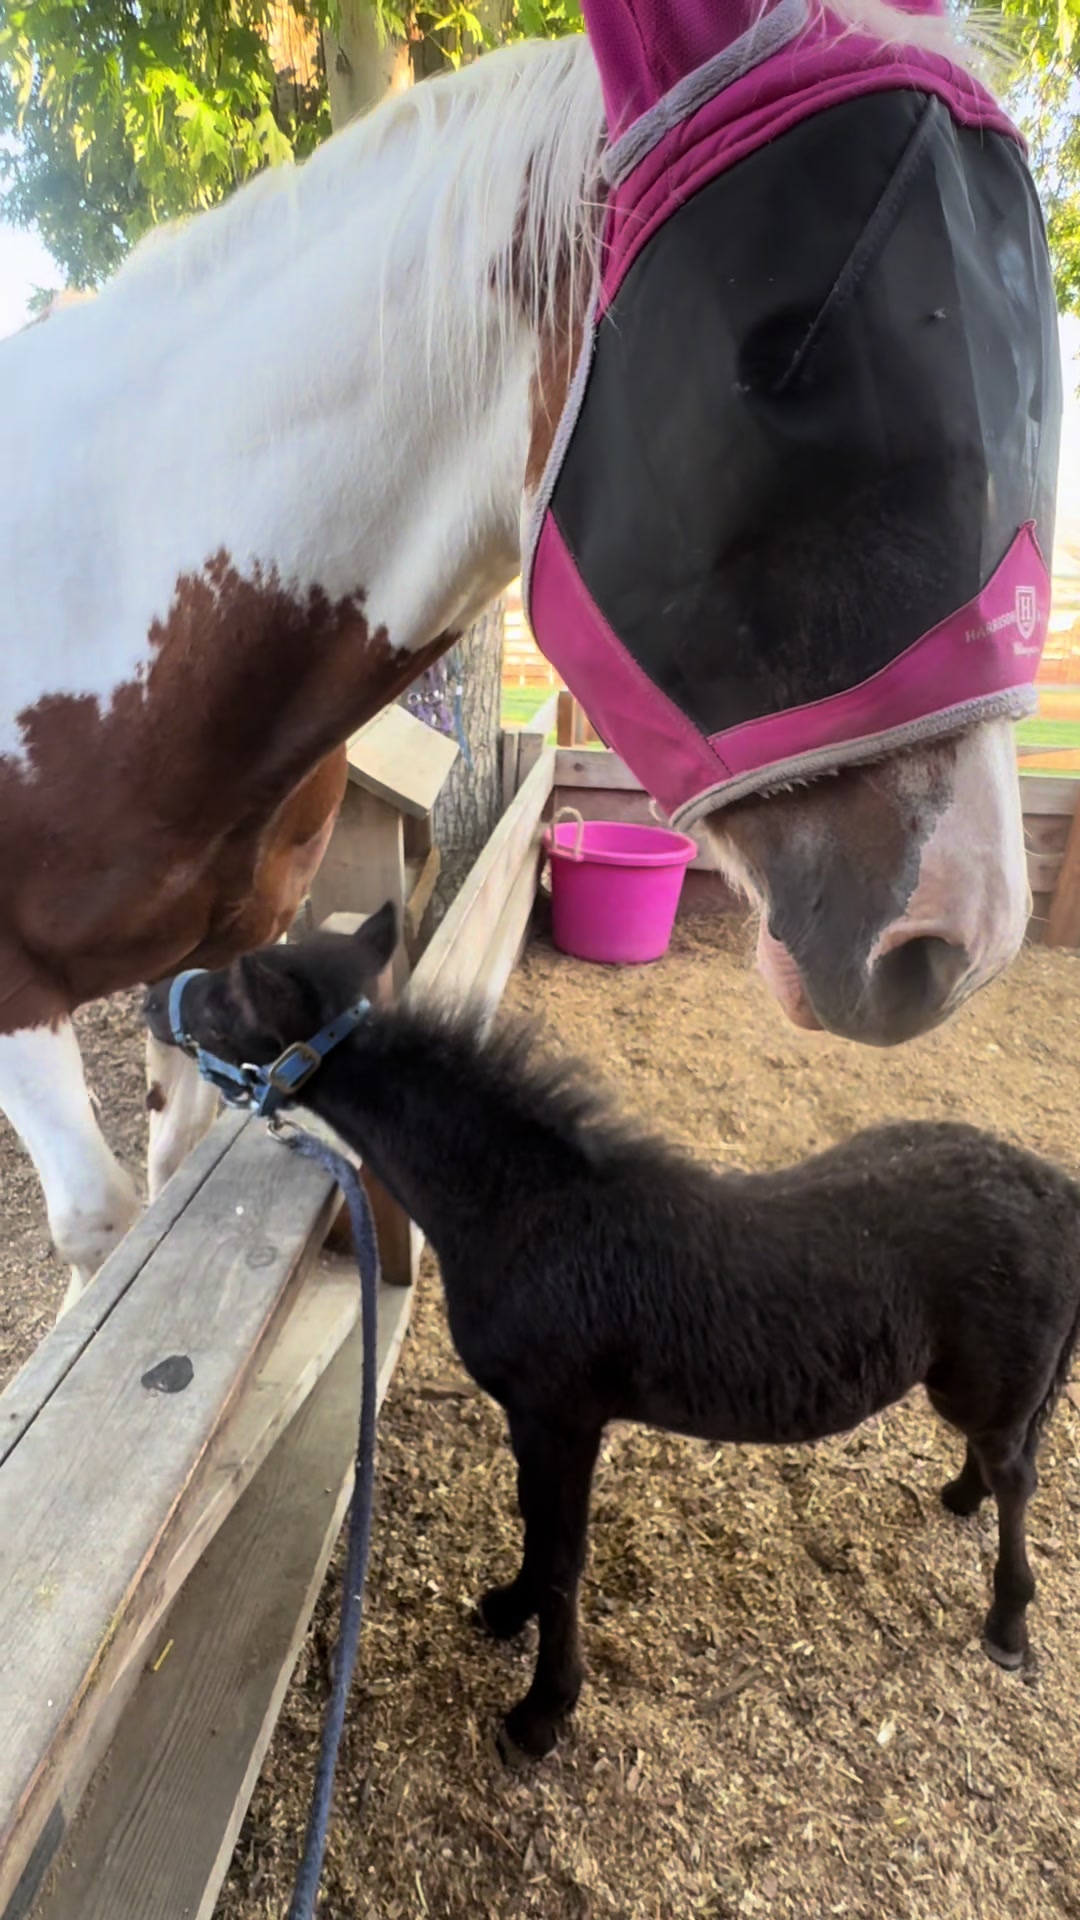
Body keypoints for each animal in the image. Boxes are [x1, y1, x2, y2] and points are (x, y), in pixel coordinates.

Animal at [0, 11, 1053, 1309]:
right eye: (777, 377)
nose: (965, 939)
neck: (106, 592)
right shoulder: (18, 998)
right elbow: (99, 1225)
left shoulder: (223, 953)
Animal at [145, 905, 1080, 1760]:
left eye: (226, 999)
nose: (156, 998)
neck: (527, 1210)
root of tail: (1054, 1187)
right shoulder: (539, 1422)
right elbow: (537, 1526)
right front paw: (506, 1609)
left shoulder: (561, 1417)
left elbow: (564, 1553)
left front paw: (540, 1713)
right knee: (1001, 1463)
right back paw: (959, 1497)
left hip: (987, 1388)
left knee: (1019, 1478)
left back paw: (1007, 1624)